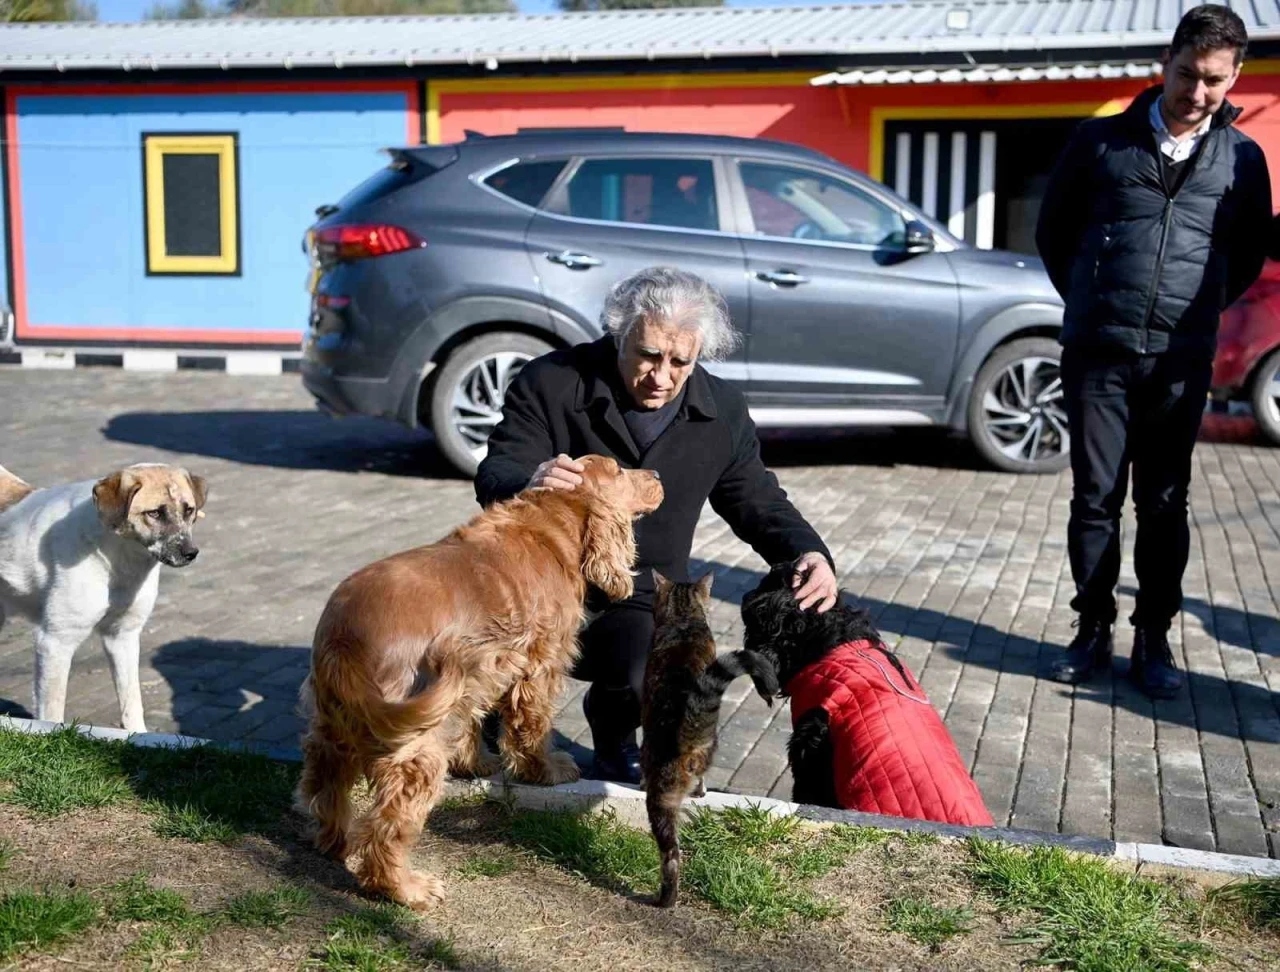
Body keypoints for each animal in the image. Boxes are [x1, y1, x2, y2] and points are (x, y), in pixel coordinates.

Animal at [0, 463, 207, 727]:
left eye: (189, 510)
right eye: (154, 513)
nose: (191, 553)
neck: (116, 557)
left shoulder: (122, 636)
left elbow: (131, 703)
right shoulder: (55, 641)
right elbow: (52, 714)